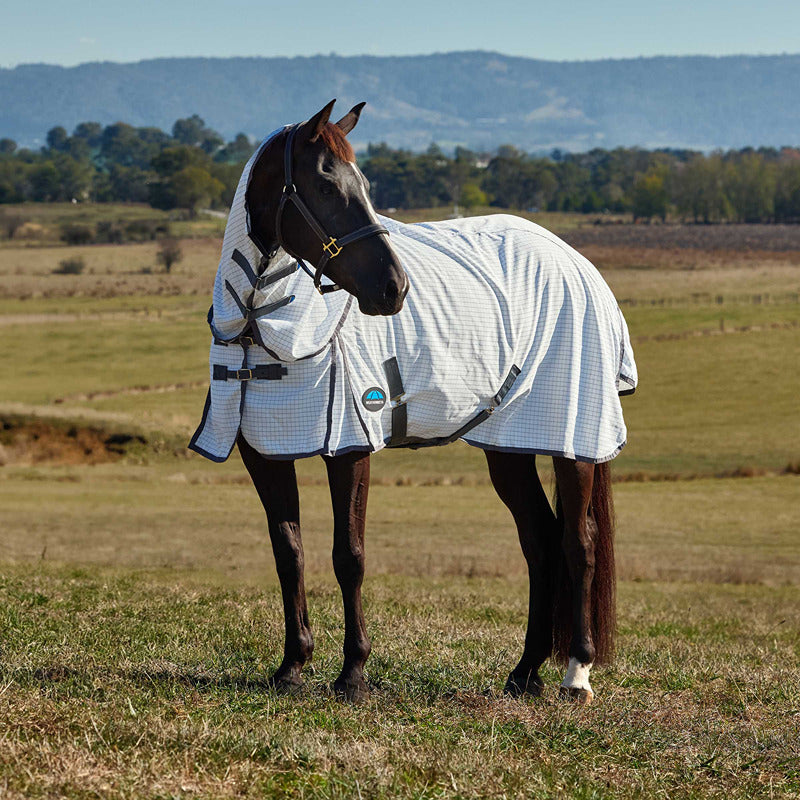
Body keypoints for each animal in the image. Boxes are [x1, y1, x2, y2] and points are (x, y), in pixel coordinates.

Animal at [190, 100, 638, 704]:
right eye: (326, 185)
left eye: (364, 184)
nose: (394, 288)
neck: (263, 321)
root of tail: (576, 262)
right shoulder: (264, 450)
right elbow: (289, 551)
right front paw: (291, 666)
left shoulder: (349, 448)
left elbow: (348, 556)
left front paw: (353, 673)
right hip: (509, 446)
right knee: (541, 541)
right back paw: (524, 672)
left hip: (573, 441)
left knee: (579, 543)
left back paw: (576, 675)